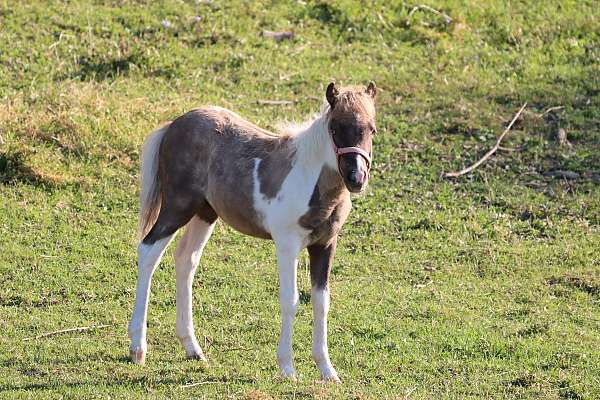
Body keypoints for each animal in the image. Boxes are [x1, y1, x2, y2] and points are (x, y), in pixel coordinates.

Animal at [129, 81, 378, 382]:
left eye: (372, 129)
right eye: (335, 128)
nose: (356, 178)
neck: (313, 181)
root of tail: (173, 125)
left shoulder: (325, 244)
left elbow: (321, 302)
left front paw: (328, 371)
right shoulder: (287, 244)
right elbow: (291, 301)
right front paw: (287, 368)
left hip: (205, 213)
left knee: (186, 259)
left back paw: (193, 348)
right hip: (177, 207)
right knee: (148, 251)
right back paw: (138, 349)